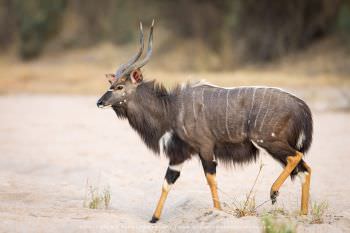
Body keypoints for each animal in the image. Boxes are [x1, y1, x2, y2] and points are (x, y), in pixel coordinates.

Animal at [95, 20, 312, 223]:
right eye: (111, 84)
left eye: (120, 87)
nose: (100, 102)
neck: (171, 108)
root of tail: (302, 108)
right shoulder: (179, 154)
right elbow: (167, 182)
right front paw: (154, 218)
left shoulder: (205, 147)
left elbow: (210, 179)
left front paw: (218, 212)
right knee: (305, 169)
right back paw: (303, 214)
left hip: (268, 141)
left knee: (296, 157)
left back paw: (274, 192)